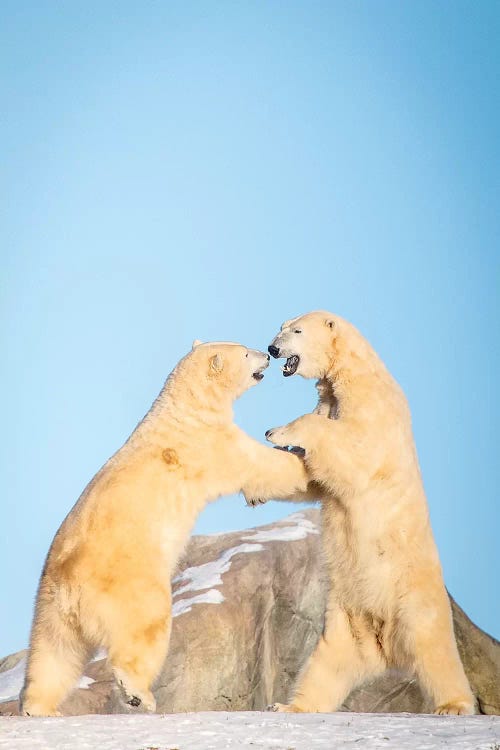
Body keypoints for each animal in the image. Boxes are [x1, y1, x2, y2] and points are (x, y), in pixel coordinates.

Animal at [20, 340, 308, 716]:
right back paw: (138, 692)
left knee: (54, 651)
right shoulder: (213, 444)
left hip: (50, 602)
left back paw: (38, 706)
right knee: (145, 628)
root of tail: (71, 577)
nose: (267, 354)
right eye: (245, 353)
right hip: (132, 584)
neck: (187, 406)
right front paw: (305, 457)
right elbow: (262, 466)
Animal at [264, 310, 474, 716]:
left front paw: (277, 431)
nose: (272, 348)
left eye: (296, 330)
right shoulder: (331, 398)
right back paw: (289, 706)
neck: (351, 371)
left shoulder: (372, 407)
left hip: (412, 594)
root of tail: (386, 646)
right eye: (280, 328)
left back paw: (454, 704)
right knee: (327, 662)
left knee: (433, 647)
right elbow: (315, 478)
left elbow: (353, 449)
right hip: (345, 616)